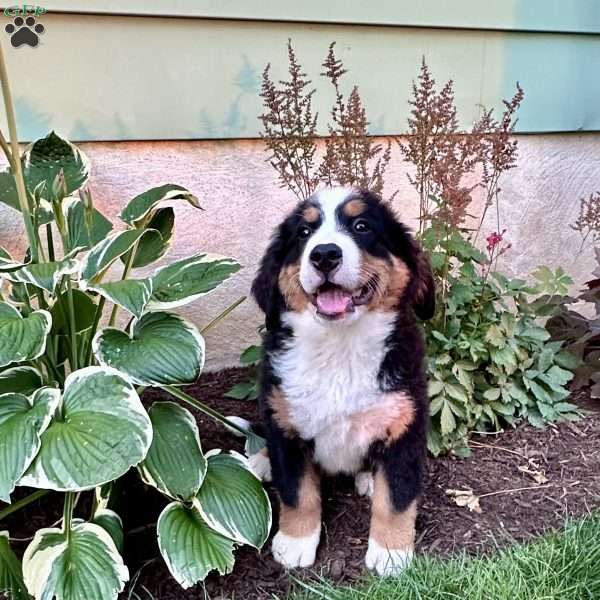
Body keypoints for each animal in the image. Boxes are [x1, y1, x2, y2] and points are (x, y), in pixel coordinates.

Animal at [247, 188, 432, 576]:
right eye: (304, 233)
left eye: (361, 226)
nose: (324, 254)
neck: (340, 346)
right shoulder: (285, 422)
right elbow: (297, 492)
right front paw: (295, 542)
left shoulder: (406, 424)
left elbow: (397, 498)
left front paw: (390, 553)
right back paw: (260, 460)